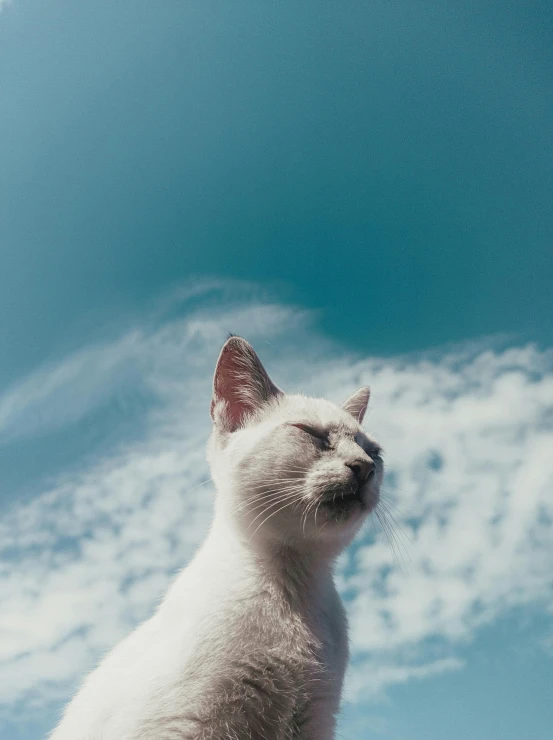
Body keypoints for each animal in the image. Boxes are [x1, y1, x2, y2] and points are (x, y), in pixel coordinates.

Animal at [49, 336, 382, 740]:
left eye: (374, 452)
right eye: (310, 432)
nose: (364, 467)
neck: (294, 586)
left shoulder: (314, 721)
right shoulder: (184, 725)